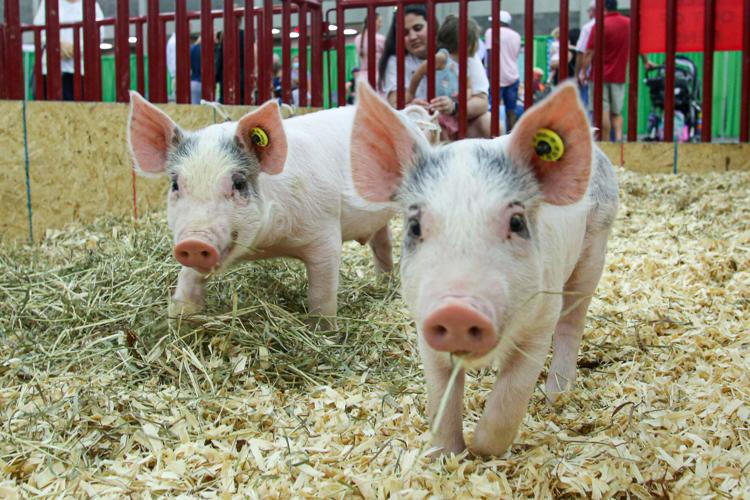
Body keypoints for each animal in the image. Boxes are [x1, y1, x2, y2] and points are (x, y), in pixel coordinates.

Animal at [127, 91, 397, 321]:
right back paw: (383, 284)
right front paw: (180, 318)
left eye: (238, 183)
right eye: (175, 184)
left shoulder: (326, 233)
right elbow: (187, 277)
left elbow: (322, 296)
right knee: (382, 242)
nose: (194, 242)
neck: (268, 245)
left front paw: (324, 331)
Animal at [350, 82, 619, 457]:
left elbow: (509, 399)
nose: (457, 309)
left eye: (517, 222)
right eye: (415, 226)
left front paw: (481, 451)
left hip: (595, 247)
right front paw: (446, 453)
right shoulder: (423, 324)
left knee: (573, 321)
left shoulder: (541, 322)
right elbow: (441, 399)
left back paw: (556, 395)